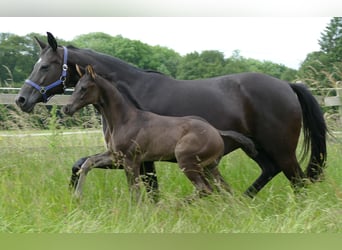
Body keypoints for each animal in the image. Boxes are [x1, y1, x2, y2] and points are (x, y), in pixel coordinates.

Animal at [64, 65, 256, 201]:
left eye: (84, 88)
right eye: (75, 86)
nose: (67, 108)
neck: (124, 120)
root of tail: (216, 131)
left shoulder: (130, 160)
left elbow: (134, 191)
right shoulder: (115, 156)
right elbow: (88, 162)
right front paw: (77, 195)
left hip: (187, 161)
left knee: (205, 189)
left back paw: (173, 205)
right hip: (210, 167)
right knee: (224, 189)